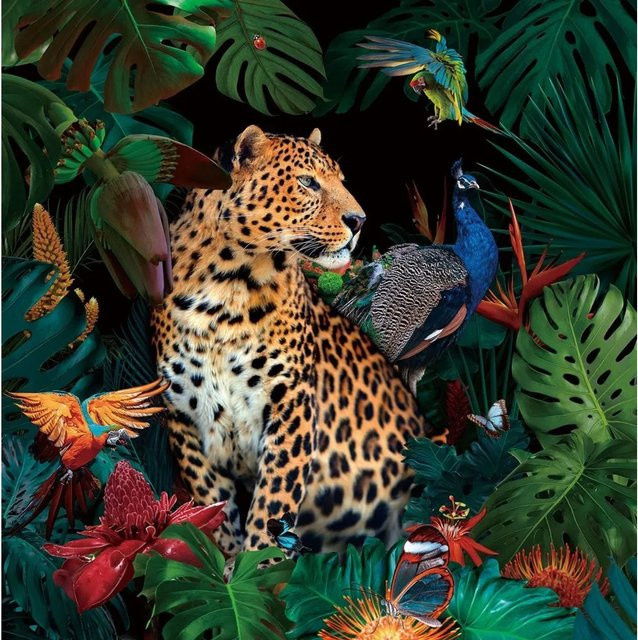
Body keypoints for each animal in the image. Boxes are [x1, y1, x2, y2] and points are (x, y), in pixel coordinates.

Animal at [150, 125, 429, 557]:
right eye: (308, 182)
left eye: (342, 181)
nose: (359, 220)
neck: (227, 288)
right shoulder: (183, 415)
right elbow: (213, 504)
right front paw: (226, 561)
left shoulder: (291, 403)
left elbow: (273, 502)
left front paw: (259, 562)